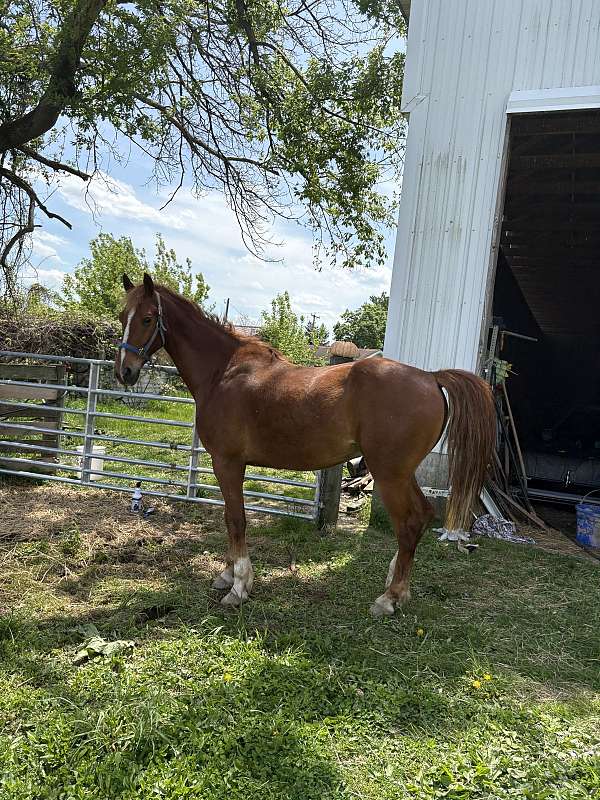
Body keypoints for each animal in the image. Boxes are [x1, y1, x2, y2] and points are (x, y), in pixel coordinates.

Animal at [116, 273, 496, 616]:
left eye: (147, 318)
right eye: (123, 317)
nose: (125, 372)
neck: (223, 371)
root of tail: (431, 377)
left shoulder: (227, 462)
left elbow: (236, 520)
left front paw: (239, 586)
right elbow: (229, 517)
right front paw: (227, 575)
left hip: (390, 475)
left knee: (411, 522)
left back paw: (389, 598)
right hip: (401, 473)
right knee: (423, 516)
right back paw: (396, 588)